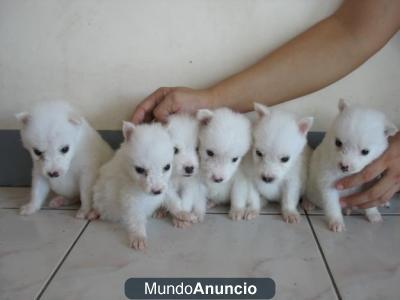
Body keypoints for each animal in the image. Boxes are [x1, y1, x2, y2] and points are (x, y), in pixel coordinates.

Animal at [94, 120, 175, 250]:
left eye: (167, 167)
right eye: (140, 170)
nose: (157, 191)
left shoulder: (166, 186)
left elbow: (174, 201)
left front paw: (183, 214)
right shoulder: (131, 198)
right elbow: (136, 218)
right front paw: (138, 236)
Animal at [306, 99, 396, 233]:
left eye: (365, 152)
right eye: (338, 143)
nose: (344, 166)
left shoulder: (368, 184)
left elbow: (369, 202)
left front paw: (373, 214)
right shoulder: (328, 182)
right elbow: (332, 205)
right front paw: (336, 221)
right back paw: (308, 203)